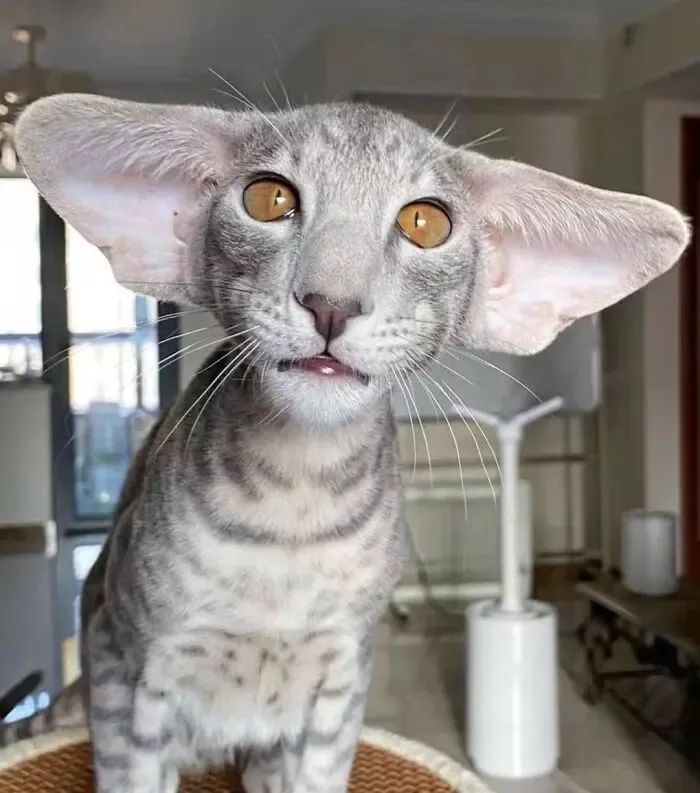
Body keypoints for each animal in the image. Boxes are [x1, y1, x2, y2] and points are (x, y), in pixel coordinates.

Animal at [1, 94, 688, 792]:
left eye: (424, 222)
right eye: (269, 199)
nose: (331, 303)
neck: (294, 505)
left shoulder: (341, 683)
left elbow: (318, 772)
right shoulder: (127, 665)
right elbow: (132, 773)